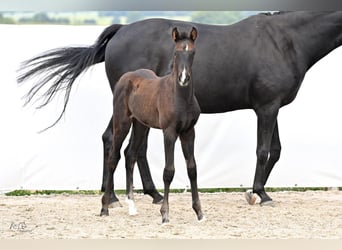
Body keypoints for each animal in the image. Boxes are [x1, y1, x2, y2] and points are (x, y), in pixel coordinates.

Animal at [100, 27, 204, 225]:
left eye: (193, 52)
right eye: (176, 53)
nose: (184, 78)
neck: (180, 97)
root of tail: (126, 77)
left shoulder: (189, 132)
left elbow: (192, 169)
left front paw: (199, 212)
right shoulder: (169, 132)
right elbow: (168, 171)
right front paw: (165, 214)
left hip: (141, 125)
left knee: (130, 155)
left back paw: (132, 207)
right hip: (122, 123)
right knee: (113, 157)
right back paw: (105, 207)